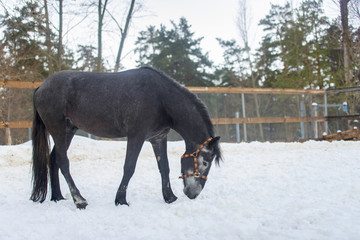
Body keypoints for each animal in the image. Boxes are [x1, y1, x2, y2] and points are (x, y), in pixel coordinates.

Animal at [30, 66, 222, 209]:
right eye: (205, 162)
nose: (193, 194)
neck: (160, 99)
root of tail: (41, 88)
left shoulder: (158, 138)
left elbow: (164, 167)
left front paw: (169, 197)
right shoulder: (136, 136)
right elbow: (129, 167)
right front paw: (120, 200)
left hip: (68, 131)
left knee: (53, 159)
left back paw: (57, 197)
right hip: (58, 129)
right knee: (63, 162)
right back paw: (79, 200)